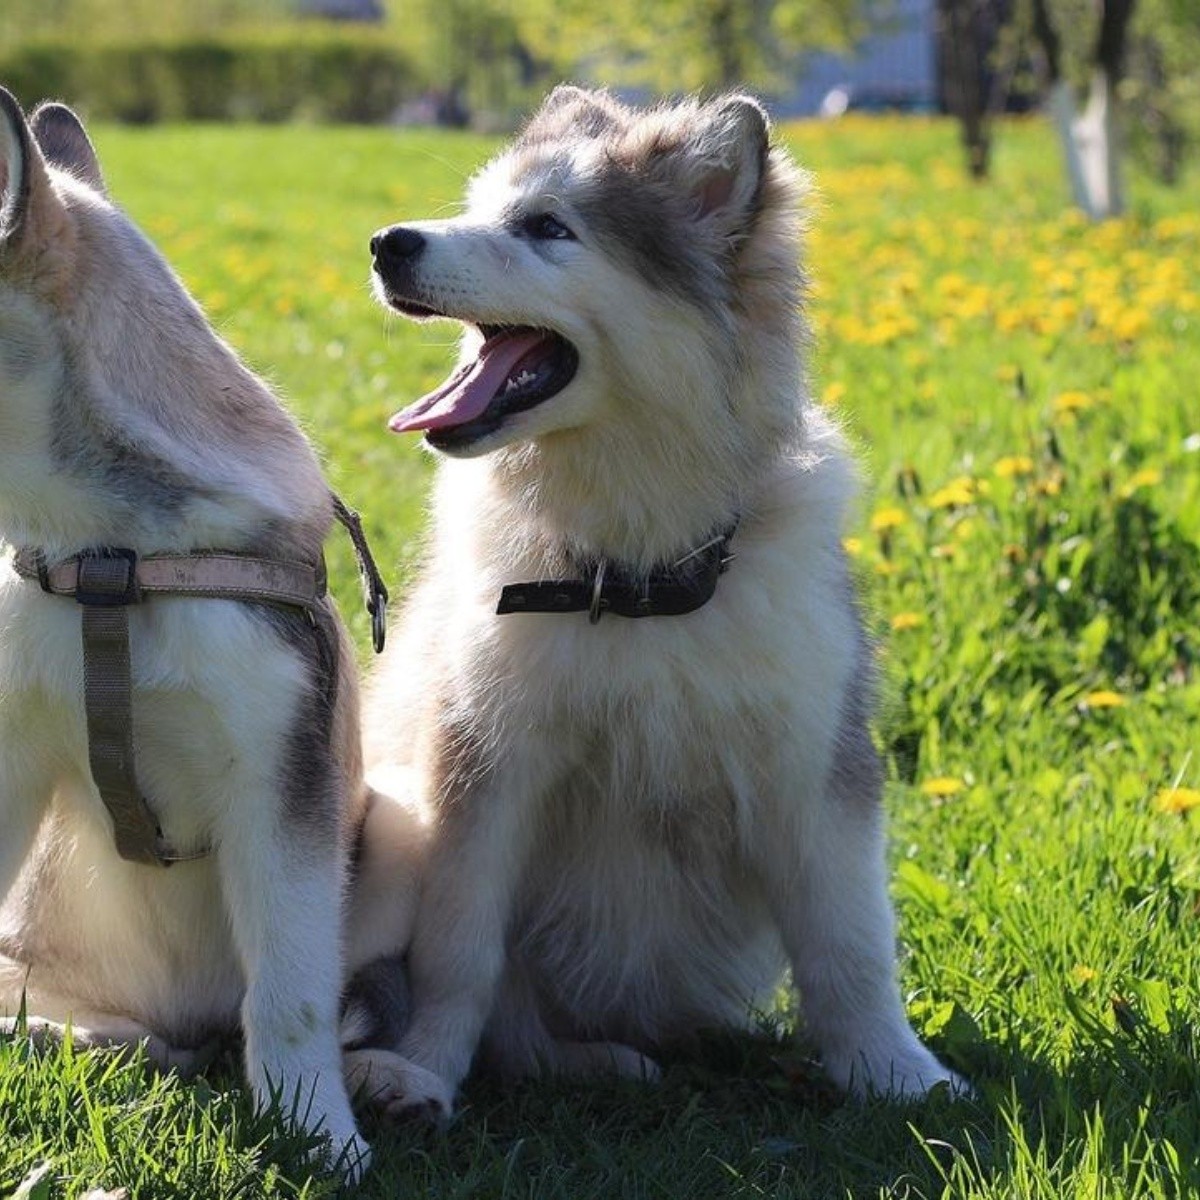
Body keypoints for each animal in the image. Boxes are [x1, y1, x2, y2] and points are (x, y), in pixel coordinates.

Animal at [0, 88, 429, 1176]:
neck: (109, 556)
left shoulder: (284, 782)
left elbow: (292, 995)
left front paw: (318, 1132)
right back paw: (83, 1039)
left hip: (398, 820)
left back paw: (389, 1080)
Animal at [364, 87, 964, 1123]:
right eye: (478, 210)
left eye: (546, 228)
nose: (386, 242)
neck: (636, 579)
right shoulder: (484, 767)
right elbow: (459, 950)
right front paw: (426, 1068)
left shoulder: (814, 767)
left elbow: (851, 945)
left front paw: (895, 1072)